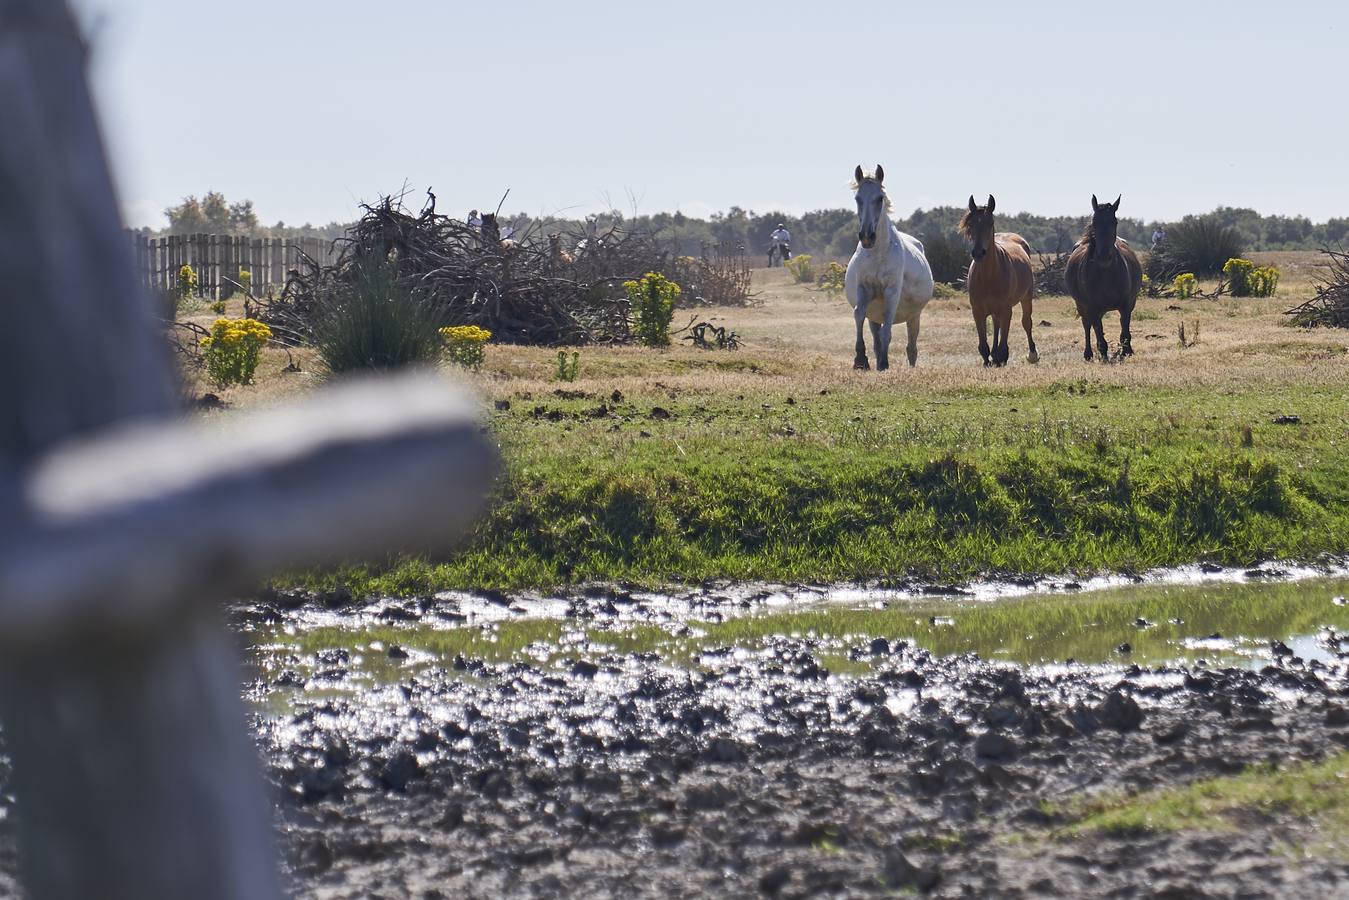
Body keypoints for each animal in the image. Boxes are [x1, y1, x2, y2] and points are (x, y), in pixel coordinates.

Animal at [841, 164, 938, 369]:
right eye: (857, 198)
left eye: (880, 198)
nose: (867, 237)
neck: (878, 254)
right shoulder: (864, 289)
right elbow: (858, 314)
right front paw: (860, 359)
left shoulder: (891, 293)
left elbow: (887, 330)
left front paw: (884, 363)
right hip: (874, 317)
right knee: (877, 338)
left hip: (914, 317)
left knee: (911, 347)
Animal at [955, 195, 1036, 367]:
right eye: (971, 224)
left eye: (990, 223)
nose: (978, 253)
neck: (988, 276)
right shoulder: (977, 310)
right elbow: (983, 341)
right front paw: (988, 360)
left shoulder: (1006, 309)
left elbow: (1004, 340)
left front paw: (1001, 357)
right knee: (996, 324)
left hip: (1026, 297)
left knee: (1026, 322)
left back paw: (1032, 354)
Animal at [1063, 195, 1138, 361]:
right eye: (1094, 222)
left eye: (1114, 222)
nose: (1103, 256)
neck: (1106, 273)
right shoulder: (1092, 307)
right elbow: (1097, 329)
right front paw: (1103, 353)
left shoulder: (1127, 304)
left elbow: (1125, 329)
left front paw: (1127, 351)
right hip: (1082, 306)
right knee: (1087, 326)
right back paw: (1088, 354)